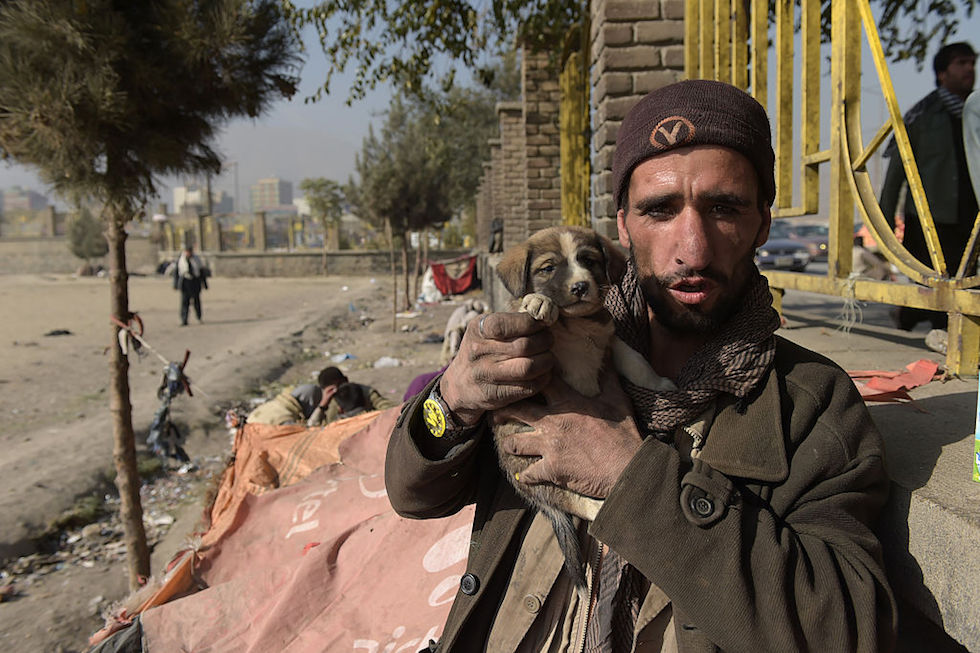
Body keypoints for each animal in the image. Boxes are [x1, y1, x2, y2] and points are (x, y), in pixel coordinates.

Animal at [494, 224, 676, 584]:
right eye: (548, 268)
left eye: (589, 261)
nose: (580, 287)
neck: (575, 324)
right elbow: (522, 311)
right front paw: (537, 301)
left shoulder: (611, 340)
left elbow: (636, 361)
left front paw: (660, 383)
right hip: (539, 470)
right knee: (578, 503)